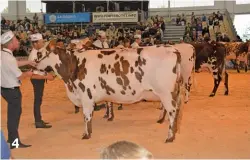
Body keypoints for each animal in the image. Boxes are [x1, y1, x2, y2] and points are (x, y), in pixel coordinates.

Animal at [36, 41, 182, 142]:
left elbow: (86, 116)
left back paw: (170, 137)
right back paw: (163, 122)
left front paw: (86, 134)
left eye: (40, 53)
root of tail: (173, 49)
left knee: (173, 110)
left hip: (166, 92)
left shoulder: (86, 96)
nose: (34, 65)